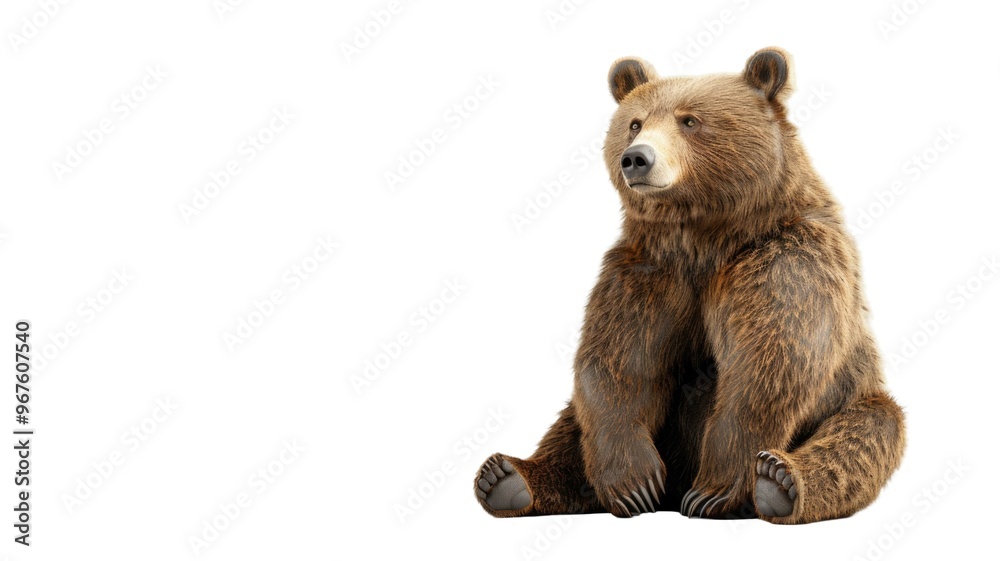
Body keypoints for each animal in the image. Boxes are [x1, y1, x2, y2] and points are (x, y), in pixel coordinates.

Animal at [474, 47, 905, 524]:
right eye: (635, 122)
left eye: (690, 120)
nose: (636, 158)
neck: (704, 236)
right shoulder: (647, 274)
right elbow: (618, 364)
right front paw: (634, 485)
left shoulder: (785, 263)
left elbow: (769, 363)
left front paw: (713, 492)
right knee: (572, 425)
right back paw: (507, 478)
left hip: (854, 396)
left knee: (866, 434)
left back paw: (779, 483)